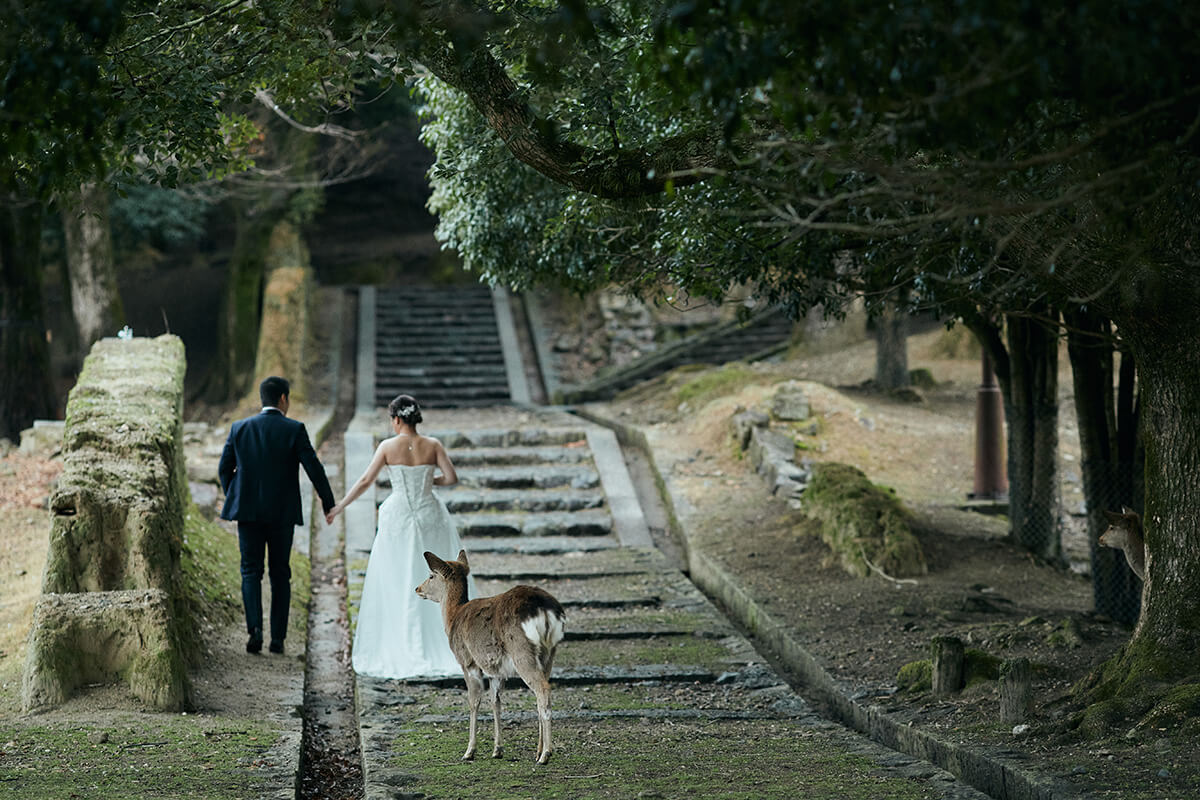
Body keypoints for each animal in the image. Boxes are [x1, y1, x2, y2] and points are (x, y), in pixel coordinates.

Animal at [417, 551, 566, 762]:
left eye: (431, 576)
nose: (417, 588)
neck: (452, 618)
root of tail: (545, 611)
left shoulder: (468, 661)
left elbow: (474, 701)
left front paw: (469, 752)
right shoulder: (496, 669)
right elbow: (495, 702)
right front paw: (497, 749)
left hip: (522, 652)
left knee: (543, 689)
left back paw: (545, 754)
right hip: (549, 653)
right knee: (540, 693)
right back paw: (538, 751)